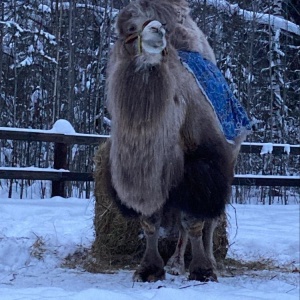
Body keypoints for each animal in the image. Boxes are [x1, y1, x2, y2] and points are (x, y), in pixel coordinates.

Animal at [95, 0, 250, 282]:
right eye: (129, 27)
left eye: (162, 24)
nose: (157, 30)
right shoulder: (147, 170)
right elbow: (150, 221)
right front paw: (149, 269)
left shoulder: (202, 165)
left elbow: (195, 220)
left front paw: (202, 270)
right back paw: (176, 264)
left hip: (225, 162)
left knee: (210, 219)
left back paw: (207, 261)